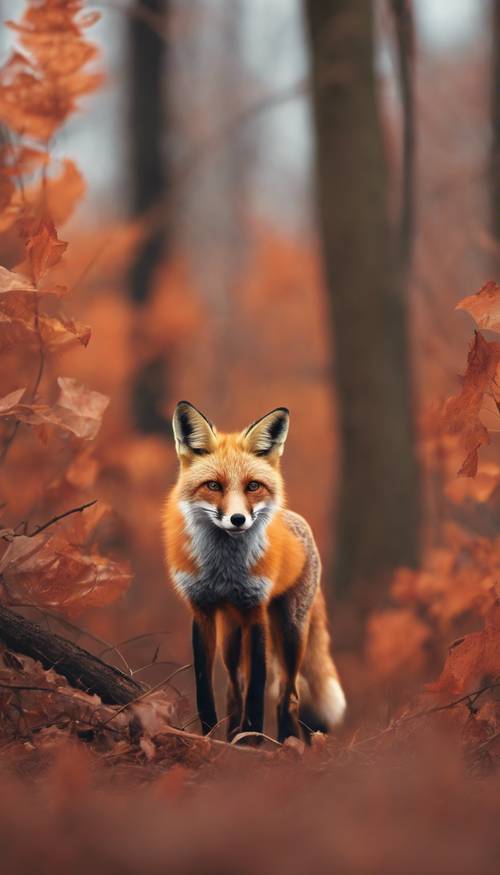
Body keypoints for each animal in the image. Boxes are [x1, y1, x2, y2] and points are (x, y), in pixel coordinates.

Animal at [162, 400, 346, 744]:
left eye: (252, 486)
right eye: (213, 485)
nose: (237, 519)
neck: (224, 571)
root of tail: (296, 519)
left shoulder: (256, 611)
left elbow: (258, 689)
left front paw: (254, 740)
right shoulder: (202, 612)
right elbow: (205, 688)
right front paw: (209, 738)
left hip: (290, 630)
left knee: (289, 694)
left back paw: (285, 744)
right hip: (231, 637)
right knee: (235, 689)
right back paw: (234, 735)